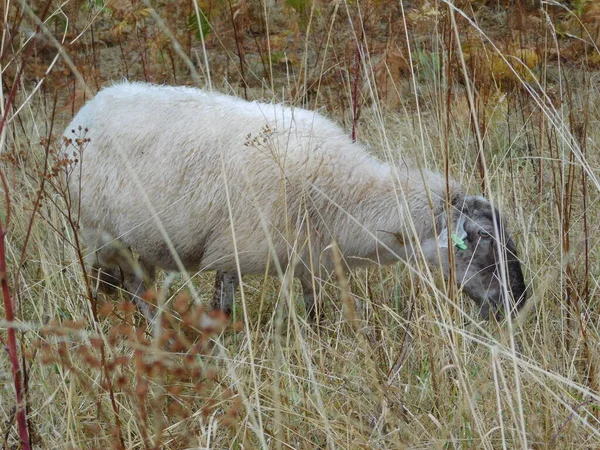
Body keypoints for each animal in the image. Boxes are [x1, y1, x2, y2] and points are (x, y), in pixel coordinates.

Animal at [63, 82, 528, 324]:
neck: (347, 193)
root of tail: (91, 105)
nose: (517, 303)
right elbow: (224, 304)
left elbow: (313, 303)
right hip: (108, 234)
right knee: (138, 292)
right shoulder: (236, 245)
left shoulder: (309, 253)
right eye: (483, 241)